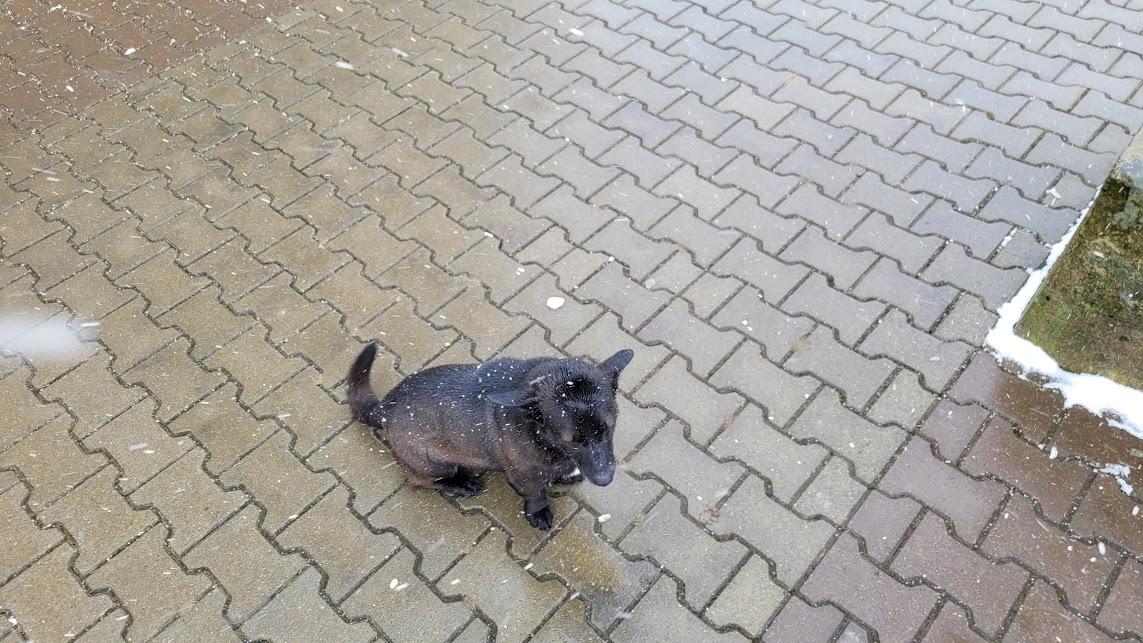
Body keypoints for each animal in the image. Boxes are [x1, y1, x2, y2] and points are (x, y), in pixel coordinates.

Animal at [347, 343, 634, 530]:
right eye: (569, 439)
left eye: (608, 428)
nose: (605, 479)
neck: (539, 432)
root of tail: (386, 407)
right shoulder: (525, 477)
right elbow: (536, 494)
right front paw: (539, 512)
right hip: (435, 465)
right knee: (421, 481)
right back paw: (460, 484)